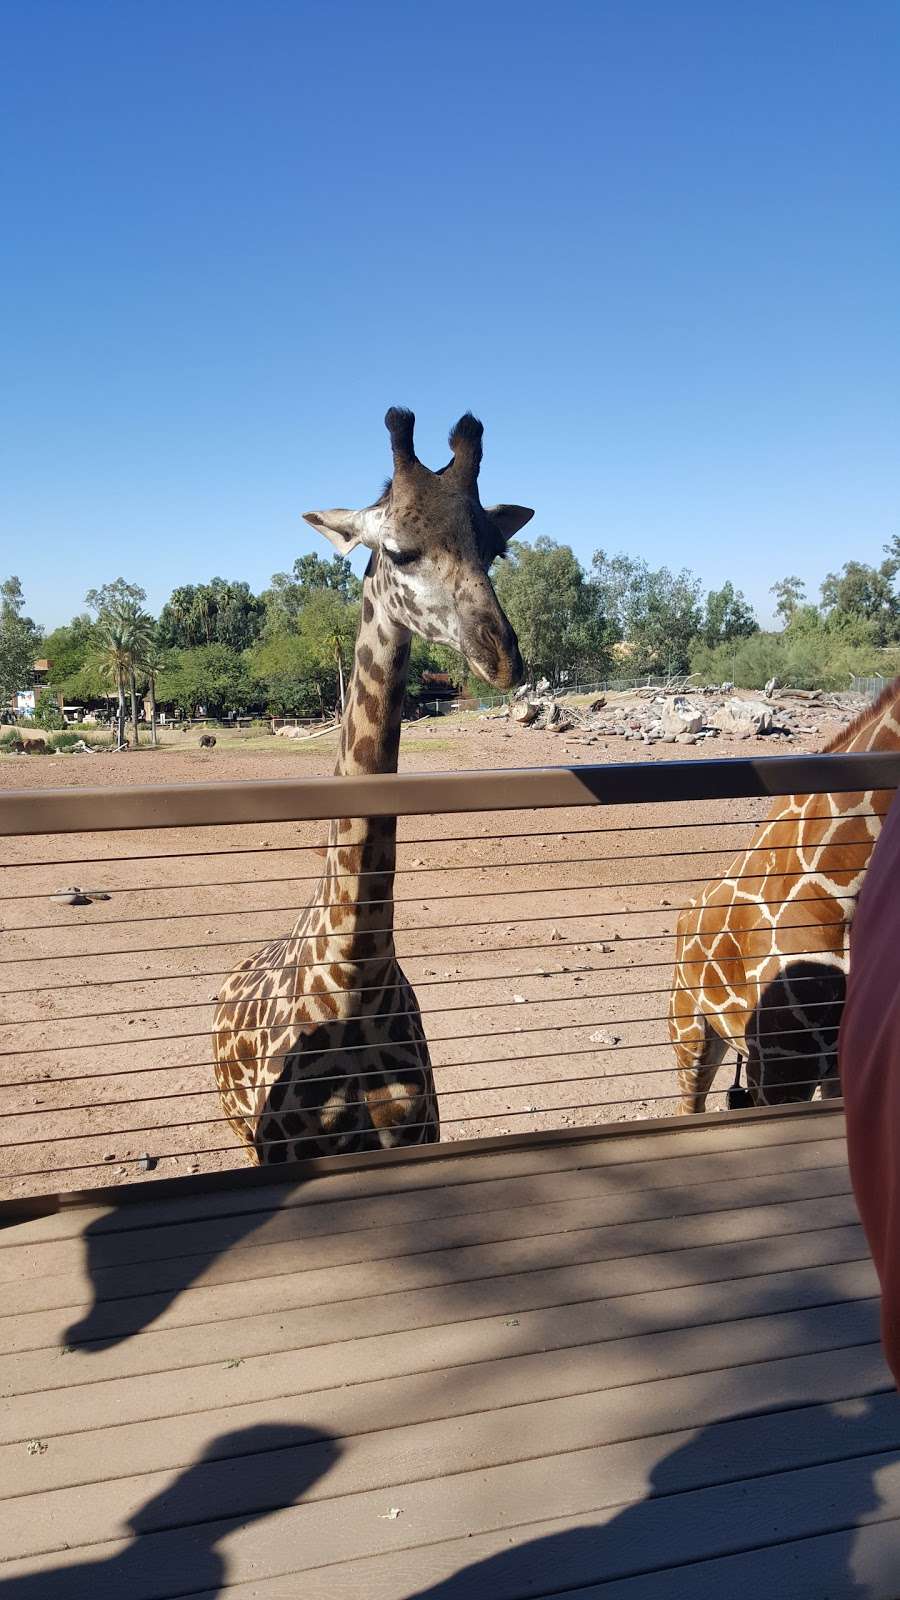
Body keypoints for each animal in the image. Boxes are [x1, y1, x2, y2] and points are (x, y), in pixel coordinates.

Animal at [212, 409, 528, 1164]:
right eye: (400, 551)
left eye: (496, 549)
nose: (503, 657)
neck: (356, 980)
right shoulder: (283, 1154)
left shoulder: (415, 1137)